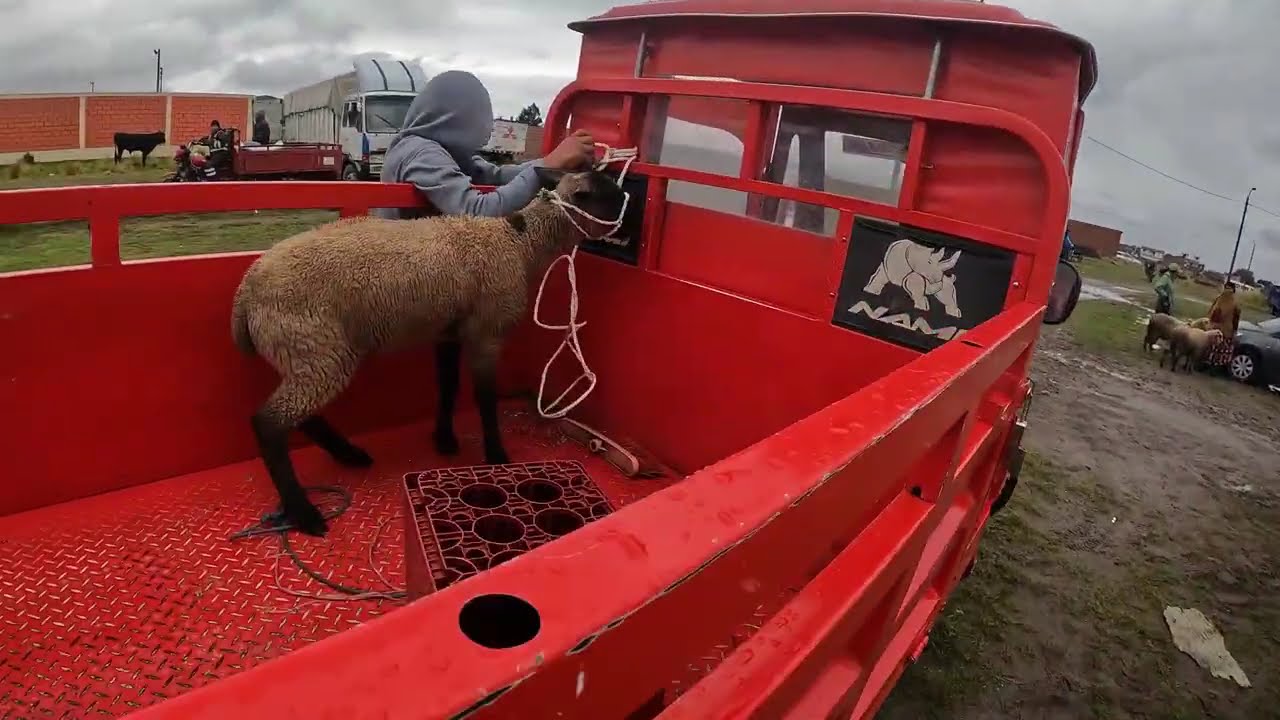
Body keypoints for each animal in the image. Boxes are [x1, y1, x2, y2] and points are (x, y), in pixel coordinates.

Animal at [230, 167, 627, 535]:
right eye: (608, 192)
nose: (628, 201)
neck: (519, 243)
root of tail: (245, 295)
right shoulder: (487, 330)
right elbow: (485, 397)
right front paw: (497, 456)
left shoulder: (449, 332)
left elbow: (448, 386)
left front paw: (445, 440)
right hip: (315, 347)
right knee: (269, 424)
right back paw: (305, 513)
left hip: (305, 354)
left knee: (300, 415)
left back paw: (349, 455)